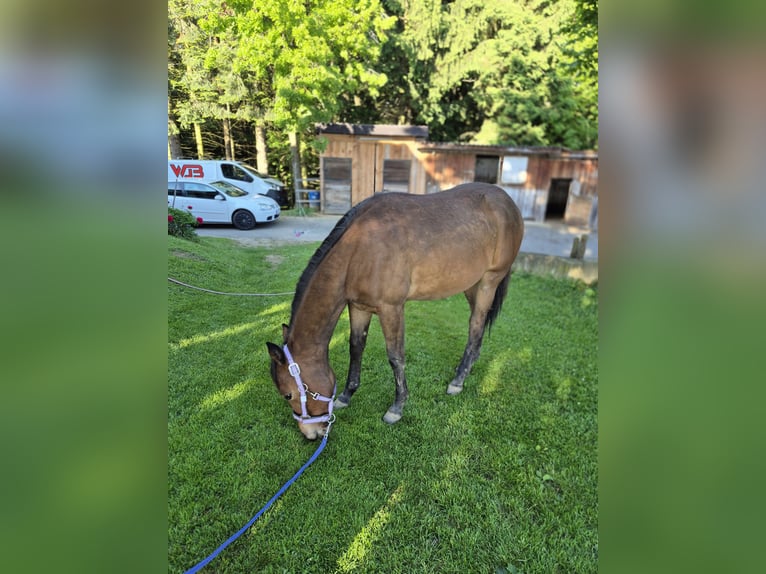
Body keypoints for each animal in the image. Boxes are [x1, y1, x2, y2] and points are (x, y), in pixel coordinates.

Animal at [266, 182, 524, 440]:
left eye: (288, 394)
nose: (311, 433)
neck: (359, 250)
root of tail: (507, 202)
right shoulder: (358, 307)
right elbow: (355, 348)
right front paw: (346, 396)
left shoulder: (391, 309)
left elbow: (395, 357)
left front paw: (397, 408)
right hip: (472, 284)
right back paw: (467, 367)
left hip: (489, 281)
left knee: (476, 325)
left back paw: (458, 380)